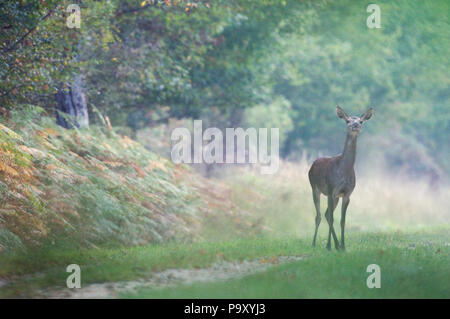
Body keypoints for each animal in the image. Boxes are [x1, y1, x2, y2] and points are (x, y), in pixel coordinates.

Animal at [308, 106, 374, 251]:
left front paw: (343, 246)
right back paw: (314, 243)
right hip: (315, 188)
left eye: (361, 121)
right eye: (347, 120)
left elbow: (343, 221)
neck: (343, 171)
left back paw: (337, 245)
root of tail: (313, 163)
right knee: (319, 215)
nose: (355, 125)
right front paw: (328, 246)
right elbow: (333, 218)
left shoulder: (347, 193)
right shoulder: (331, 189)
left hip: (335, 197)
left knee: (327, 214)